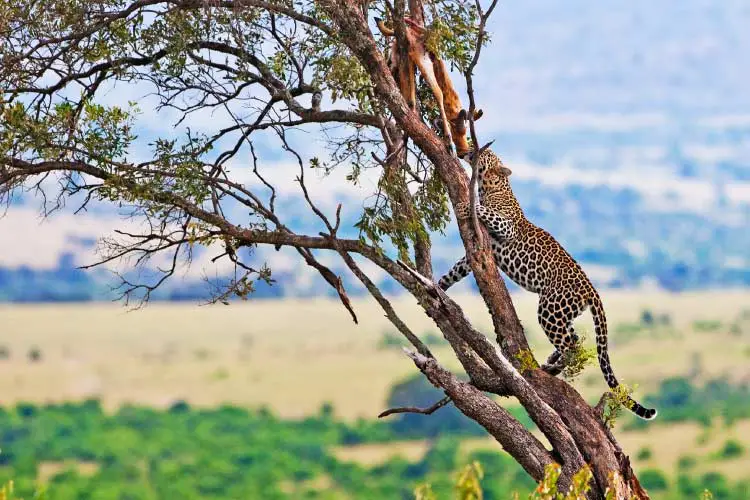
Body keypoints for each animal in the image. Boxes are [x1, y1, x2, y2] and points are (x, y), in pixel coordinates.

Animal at [440, 146, 656, 420]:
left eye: (487, 153)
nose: (468, 146)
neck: (489, 187)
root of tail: (591, 289)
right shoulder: (478, 250)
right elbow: (456, 270)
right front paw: (438, 286)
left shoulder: (506, 227)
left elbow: (484, 211)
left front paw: (464, 206)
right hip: (563, 312)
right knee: (574, 338)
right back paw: (552, 360)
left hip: (550, 308)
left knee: (572, 346)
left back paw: (552, 366)